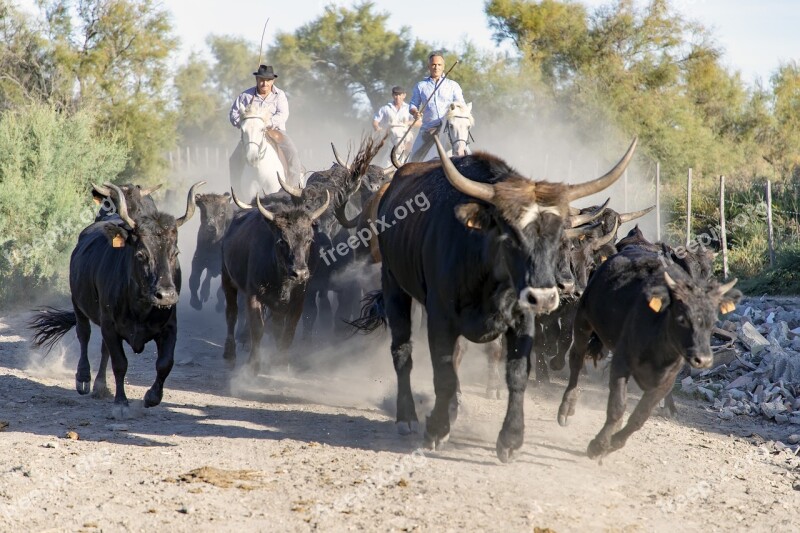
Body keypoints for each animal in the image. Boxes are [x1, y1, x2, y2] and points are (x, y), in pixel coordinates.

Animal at [28, 182, 203, 416]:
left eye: (175, 253)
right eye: (141, 254)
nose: (166, 295)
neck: (140, 307)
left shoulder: (169, 326)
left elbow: (165, 363)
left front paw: (152, 397)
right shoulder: (110, 325)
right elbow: (120, 363)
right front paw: (121, 403)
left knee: (103, 349)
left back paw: (101, 386)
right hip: (79, 305)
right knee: (84, 335)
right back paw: (84, 379)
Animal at [354, 137, 640, 462]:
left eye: (561, 240)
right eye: (511, 234)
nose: (560, 290)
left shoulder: (523, 319)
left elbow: (515, 372)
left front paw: (510, 438)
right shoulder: (440, 318)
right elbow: (444, 371)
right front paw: (438, 429)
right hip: (394, 285)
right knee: (402, 350)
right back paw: (407, 417)